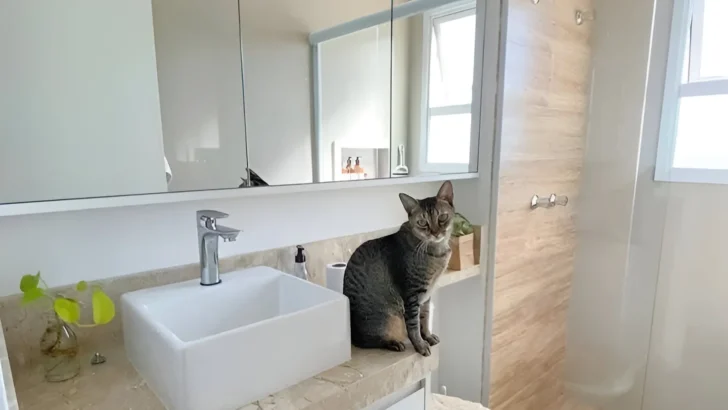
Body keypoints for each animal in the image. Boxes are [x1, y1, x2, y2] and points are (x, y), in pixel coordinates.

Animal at [342, 180, 456, 356]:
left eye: (442, 217)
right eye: (422, 222)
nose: (435, 233)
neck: (436, 251)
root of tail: (352, 335)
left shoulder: (426, 295)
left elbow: (425, 318)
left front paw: (427, 336)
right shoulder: (412, 294)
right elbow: (414, 325)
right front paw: (420, 345)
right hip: (386, 320)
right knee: (367, 341)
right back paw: (393, 343)